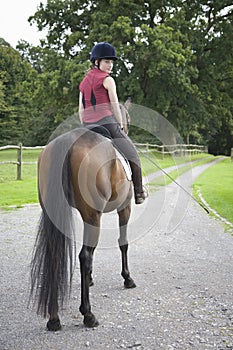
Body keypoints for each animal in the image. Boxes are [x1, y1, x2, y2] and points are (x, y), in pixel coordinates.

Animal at [29, 105, 137, 330]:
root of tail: (68, 142)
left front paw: (90, 279)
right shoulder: (125, 207)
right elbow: (123, 242)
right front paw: (127, 278)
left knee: (56, 256)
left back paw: (54, 318)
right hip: (94, 215)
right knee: (85, 256)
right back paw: (88, 314)